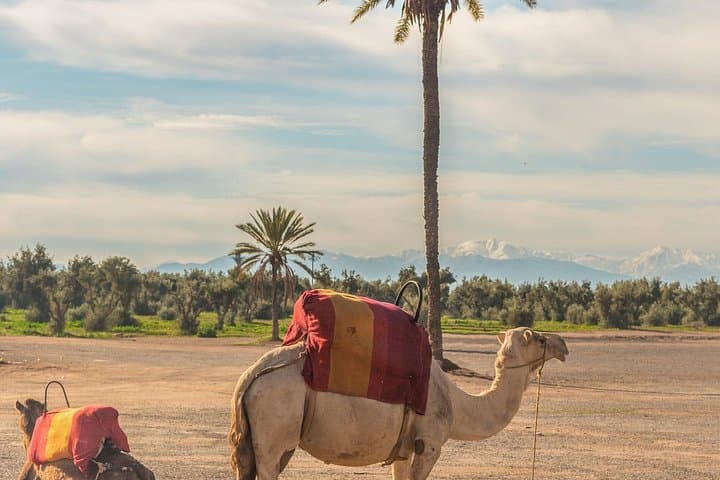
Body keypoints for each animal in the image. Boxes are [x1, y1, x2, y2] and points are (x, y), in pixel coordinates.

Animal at [229, 326, 569, 480]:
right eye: (539, 338)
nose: (563, 344)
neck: (457, 405)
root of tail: (251, 375)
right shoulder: (429, 443)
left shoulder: (404, 448)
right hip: (275, 430)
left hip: (260, 438)